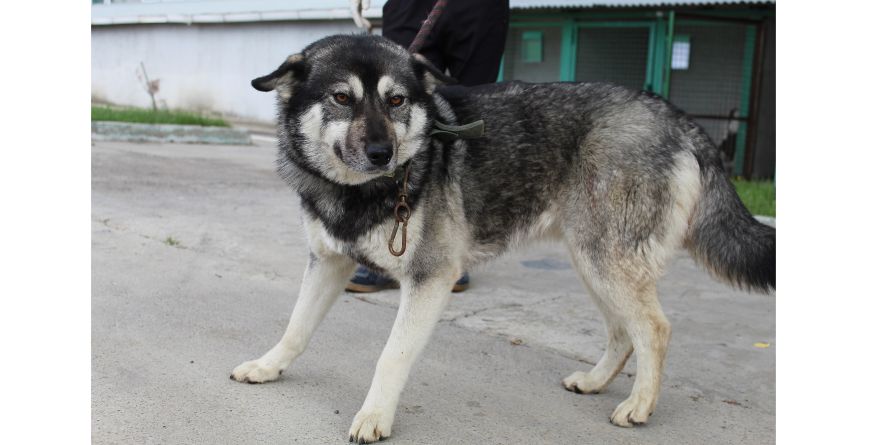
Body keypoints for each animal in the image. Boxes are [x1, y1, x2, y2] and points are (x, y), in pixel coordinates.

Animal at [231, 34, 776, 440]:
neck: (362, 192)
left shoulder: (430, 280)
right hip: (593, 262)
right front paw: (268, 367)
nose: (383, 153)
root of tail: (676, 116)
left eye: (397, 100)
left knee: (654, 330)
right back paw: (595, 381)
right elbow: (295, 329)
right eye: (342, 98)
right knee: (624, 332)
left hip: (606, 261)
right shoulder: (328, 263)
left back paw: (639, 405)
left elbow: (391, 357)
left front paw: (374, 417)